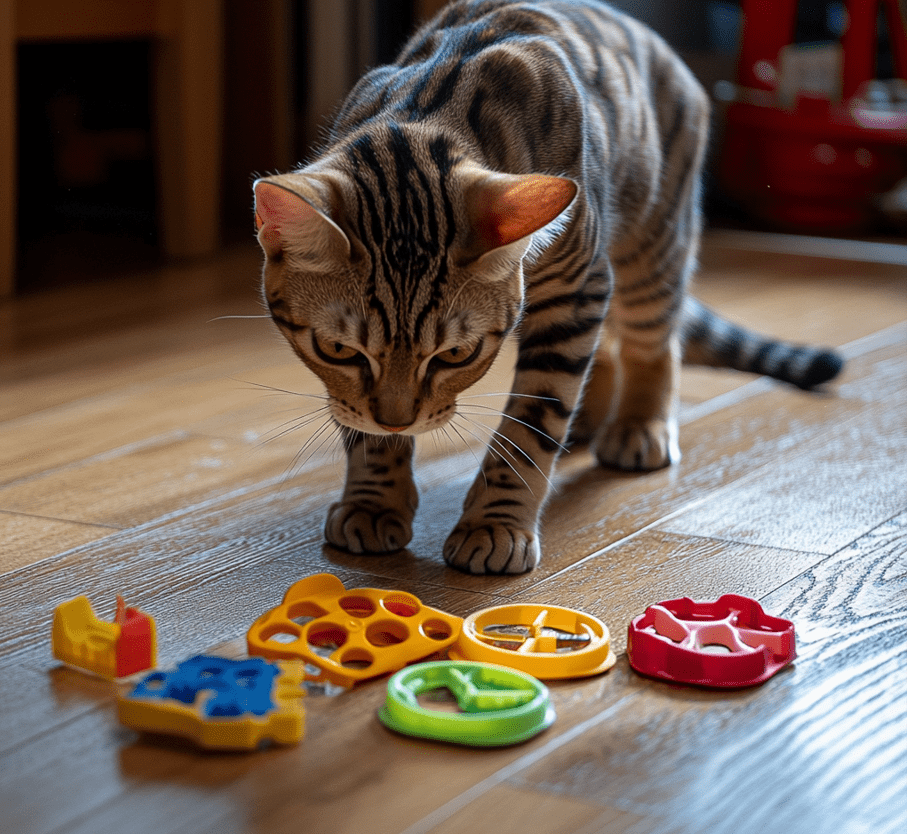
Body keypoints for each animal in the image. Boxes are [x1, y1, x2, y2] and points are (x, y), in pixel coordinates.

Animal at [250, 0, 844, 572]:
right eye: (337, 349)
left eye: (457, 354)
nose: (400, 421)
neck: (425, 108)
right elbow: (360, 422)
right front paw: (374, 501)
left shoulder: (575, 290)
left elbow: (532, 423)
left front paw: (495, 524)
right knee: (605, 351)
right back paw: (590, 418)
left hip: (649, 246)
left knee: (654, 342)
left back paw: (638, 423)